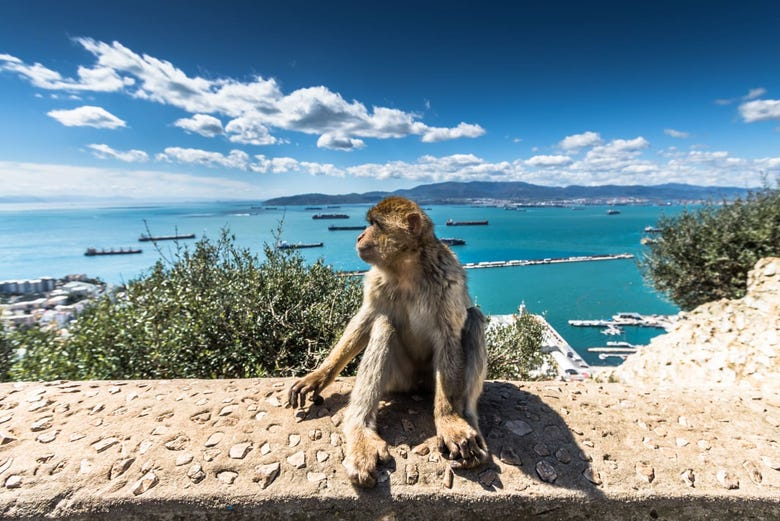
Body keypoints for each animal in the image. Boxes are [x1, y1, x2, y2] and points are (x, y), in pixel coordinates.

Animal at [290, 196, 488, 488]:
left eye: (375, 224)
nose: (359, 236)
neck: (407, 268)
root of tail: (417, 386)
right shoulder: (375, 281)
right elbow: (365, 322)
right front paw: (319, 375)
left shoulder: (448, 279)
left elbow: (449, 338)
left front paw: (449, 421)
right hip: (400, 380)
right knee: (384, 326)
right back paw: (360, 432)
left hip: (428, 381)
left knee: (473, 320)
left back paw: (469, 418)